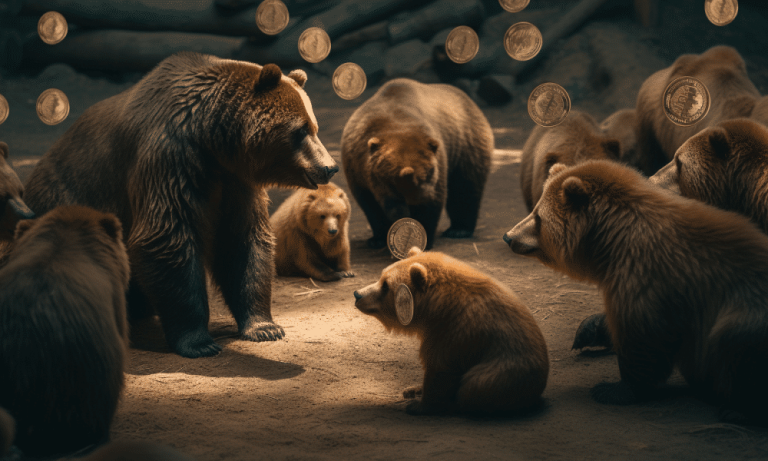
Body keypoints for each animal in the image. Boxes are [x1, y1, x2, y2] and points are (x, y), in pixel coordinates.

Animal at [22, 52, 338, 358]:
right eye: (300, 130)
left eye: (314, 126)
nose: (329, 167)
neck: (212, 140)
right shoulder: (171, 161)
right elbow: (168, 237)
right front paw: (198, 342)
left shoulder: (234, 181)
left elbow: (242, 241)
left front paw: (264, 327)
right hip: (65, 199)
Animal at [341, 78, 493, 250]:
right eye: (394, 177)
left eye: (428, 172)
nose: (418, 199)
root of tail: (469, 101)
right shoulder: (358, 171)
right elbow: (372, 207)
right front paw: (378, 238)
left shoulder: (437, 166)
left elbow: (433, 205)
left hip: (465, 147)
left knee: (464, 188)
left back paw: (459, 229)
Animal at [353, 247, 549, 416]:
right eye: (381, 277)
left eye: (386, 286)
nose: (358, 294)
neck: (436, 308)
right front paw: (414, 390)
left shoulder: (453, 331)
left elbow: (439, 368)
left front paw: (419, 405)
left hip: (503, 370)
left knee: (474, 386)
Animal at [504, 159, 768, 423]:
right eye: (534, 210)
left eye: (538, 216)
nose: (508, 236)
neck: (609, 244)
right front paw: (590, 331)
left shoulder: (645, 276)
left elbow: (642, 336)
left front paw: (611, 389)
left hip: (741, 314)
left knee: (734, 344)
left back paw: (737, 409)